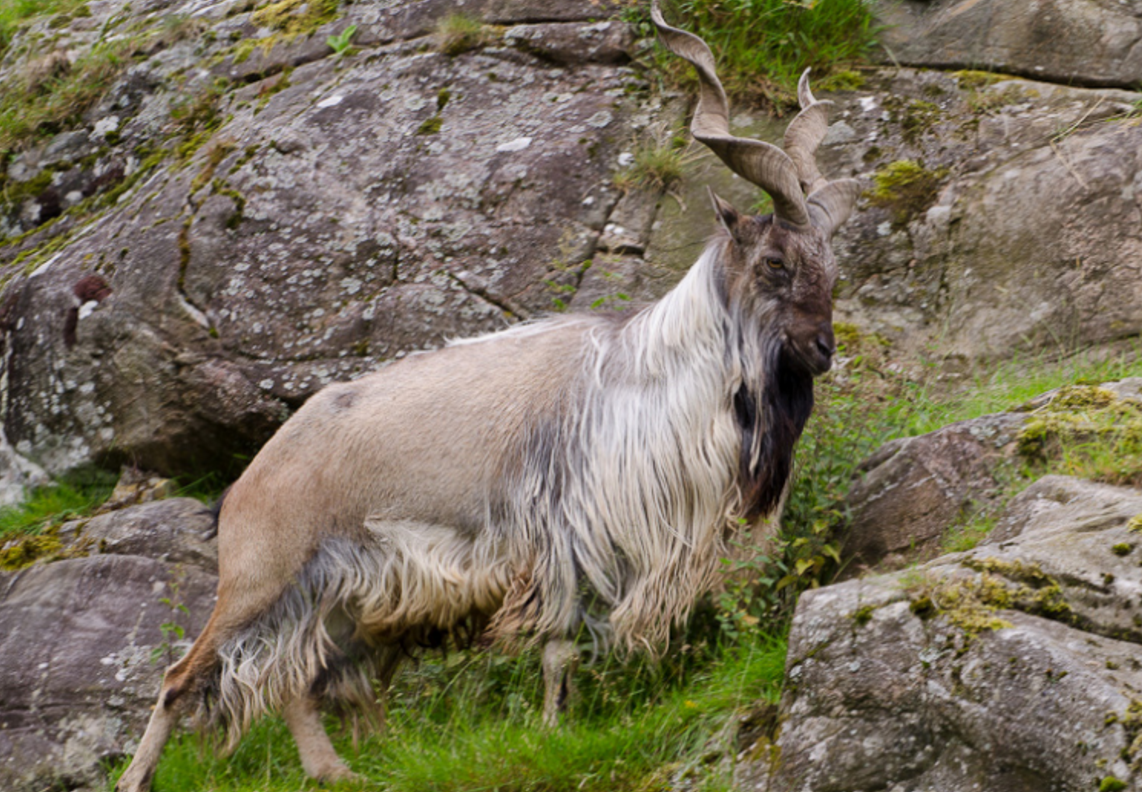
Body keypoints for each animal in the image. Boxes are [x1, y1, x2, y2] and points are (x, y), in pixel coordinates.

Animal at [115, 3, 858, 789]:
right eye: (775, 262)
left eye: (831, 263)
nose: (823, 349)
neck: (645, 378)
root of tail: (247, 481)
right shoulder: (562, 538)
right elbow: (558, 646)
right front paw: (552, 729)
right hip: (260, 576)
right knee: (181, 678)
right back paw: (143, 776)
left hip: (336, 597)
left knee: (300, 682)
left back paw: (345, 769)